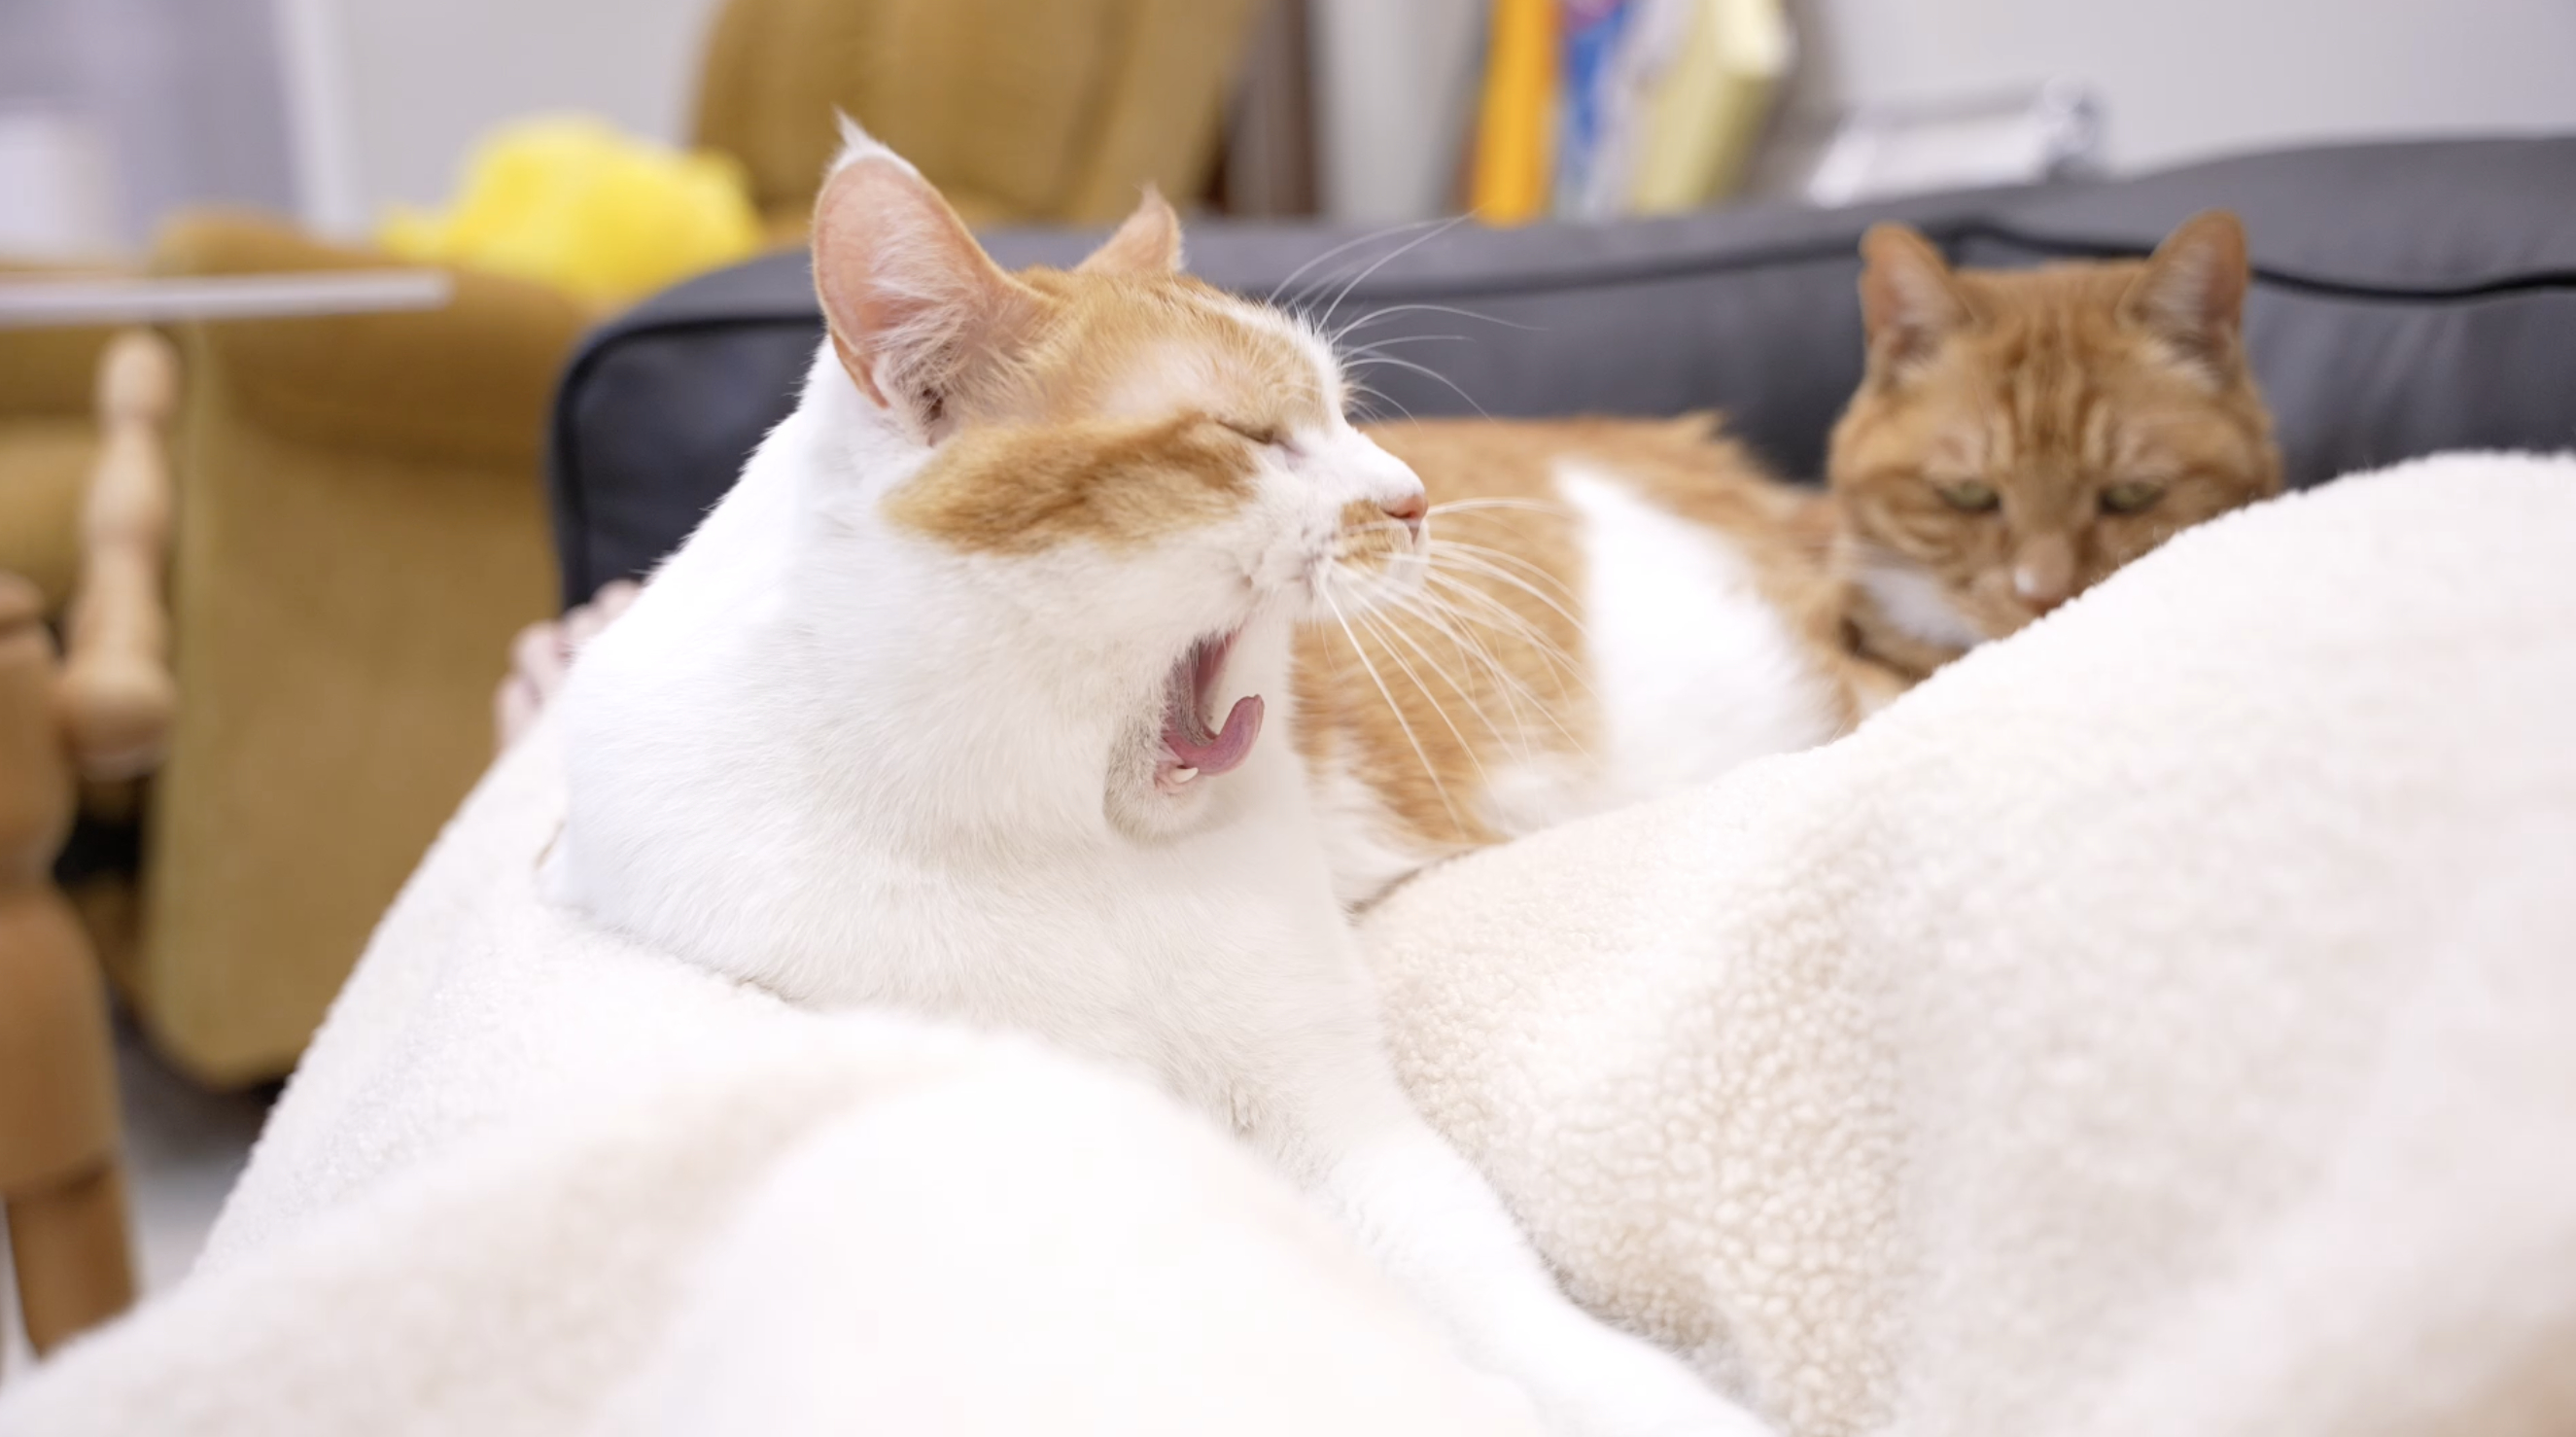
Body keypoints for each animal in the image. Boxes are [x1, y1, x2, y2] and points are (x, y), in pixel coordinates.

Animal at [551, 123, 1772, 1437]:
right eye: (1254, 437)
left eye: (1347, 414)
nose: (1413, 500)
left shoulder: (1323, 1102)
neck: (1061, 844)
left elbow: (1488, 1287)